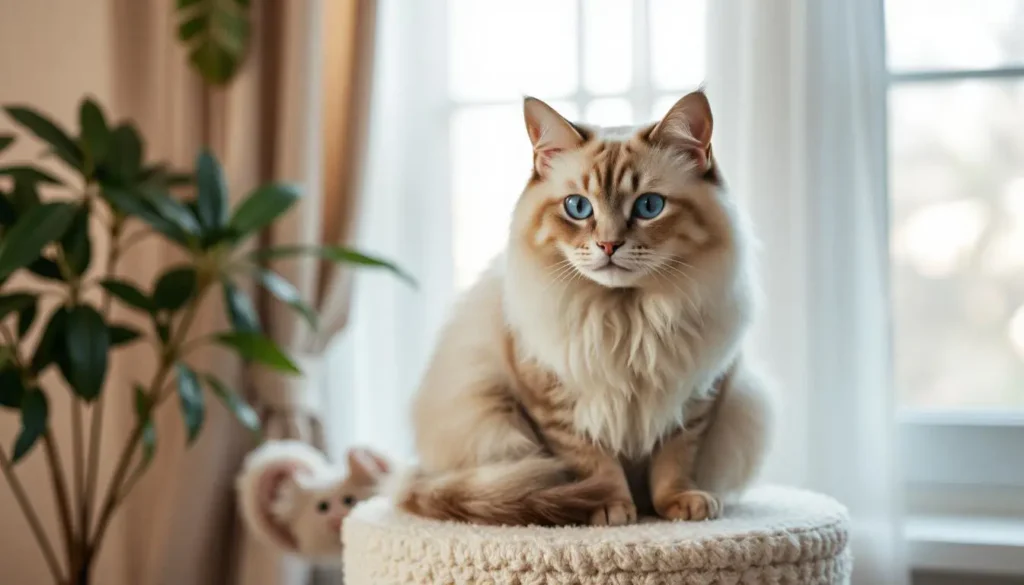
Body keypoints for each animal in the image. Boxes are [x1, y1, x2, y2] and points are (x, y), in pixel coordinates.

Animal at [395, 90, 770, 524]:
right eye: (578, 208)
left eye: (649, 206)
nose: (609, 244)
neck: (630, 319)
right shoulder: (558, 404)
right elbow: (595, 464)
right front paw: (609, 508)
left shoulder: (692, 395)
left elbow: (673, 461)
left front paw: (678, 504)